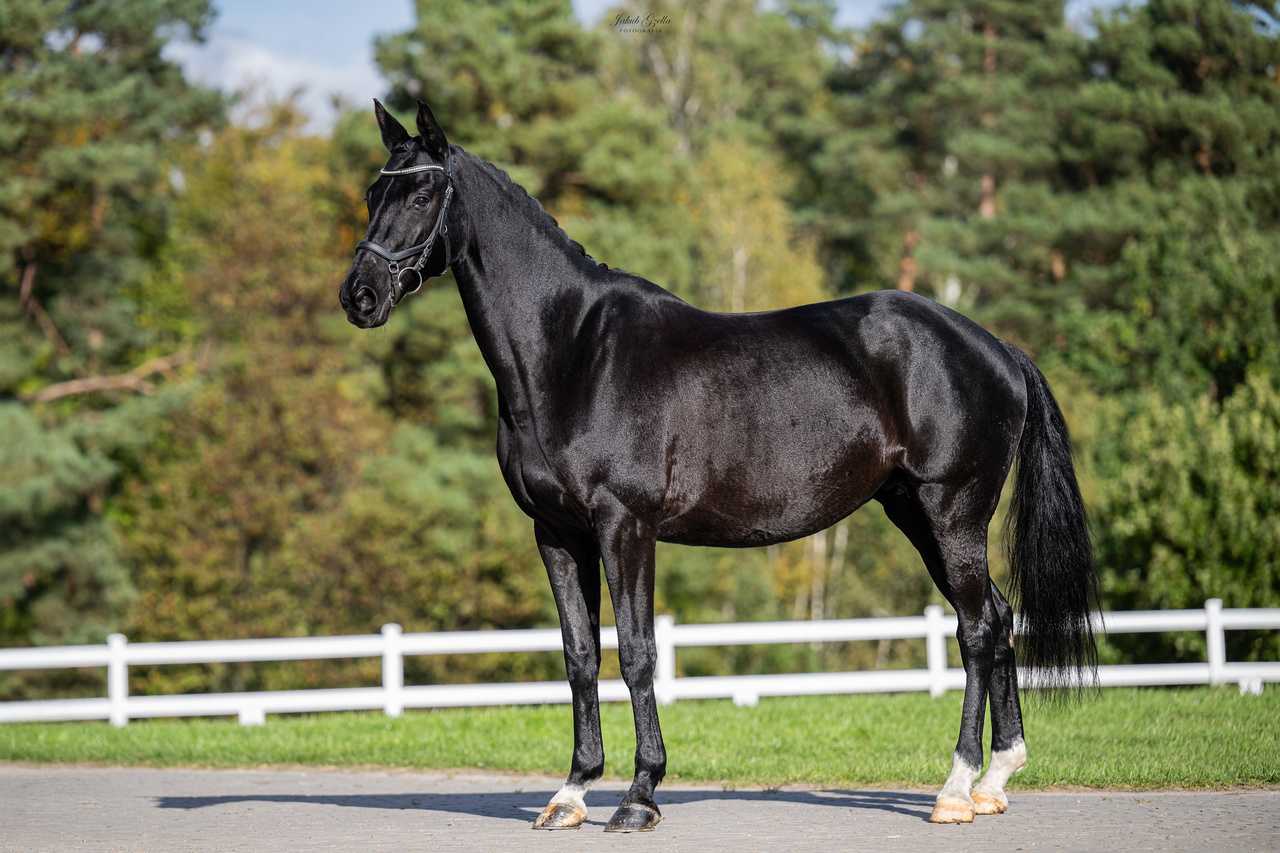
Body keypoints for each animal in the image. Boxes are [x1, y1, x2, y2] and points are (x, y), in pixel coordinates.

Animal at [339, 100, 1099, 832]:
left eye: (423, 191)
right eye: (375, 190)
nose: (359, 296)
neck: (572, 351)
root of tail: (996, 348)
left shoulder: (624, 525)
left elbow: (637, 652)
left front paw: (639, 795)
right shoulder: (556, 532)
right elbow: (580, 656)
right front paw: (572, 793)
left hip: (951, 511)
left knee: (976, 629)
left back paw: (956, 788)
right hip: (915, 512)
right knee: (996, 616)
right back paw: (996, 780)